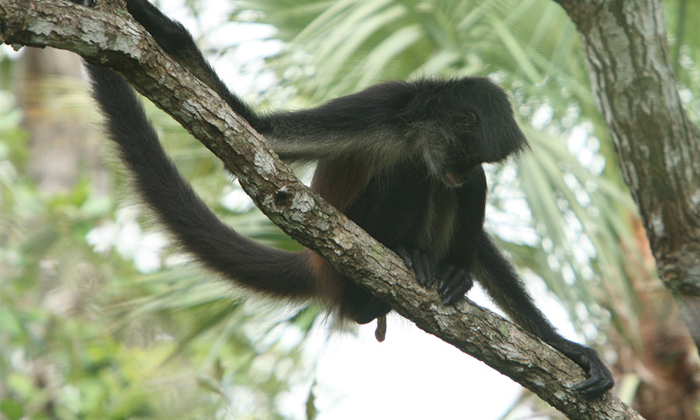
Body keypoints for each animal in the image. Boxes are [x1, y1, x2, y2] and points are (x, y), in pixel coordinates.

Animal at [67, 0, 612, 396]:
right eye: (462, 147)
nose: (458, 172)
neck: (412, 131)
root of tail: (320, 265)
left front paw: (565, 346)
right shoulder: (380, 108)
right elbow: (261, 133)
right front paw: (168, 31)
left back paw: (451, 271)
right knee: (408, 174)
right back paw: (385, 273)